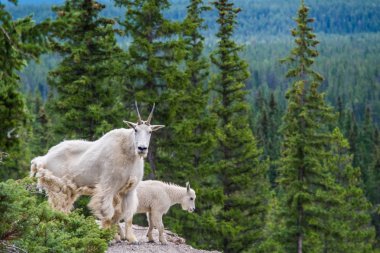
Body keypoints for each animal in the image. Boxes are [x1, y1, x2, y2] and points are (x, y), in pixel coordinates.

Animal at [30, 103, 164, 243]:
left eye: (150, 131)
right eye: (136, 130)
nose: (142, 148)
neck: (128, 153)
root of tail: (43, 158)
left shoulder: (129, 190)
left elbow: (127, 216)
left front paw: (131, 238)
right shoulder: (108, 187)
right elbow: (108, 213)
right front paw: (109, 236)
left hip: (68, 190)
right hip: (57, 187)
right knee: (56, 208)